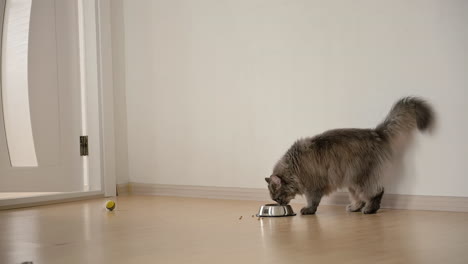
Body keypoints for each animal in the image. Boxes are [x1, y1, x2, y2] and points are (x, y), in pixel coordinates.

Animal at [266, 97, 434, 214]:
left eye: (277, 198)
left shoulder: (313, 186)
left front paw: (308, 210)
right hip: (351, 180)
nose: (280, 204)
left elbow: (312, 201)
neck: (294, 167)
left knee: (376, 192)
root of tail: (376, 132)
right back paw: (354, 208)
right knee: (358, 198)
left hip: (362, 178)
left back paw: (370, 210)